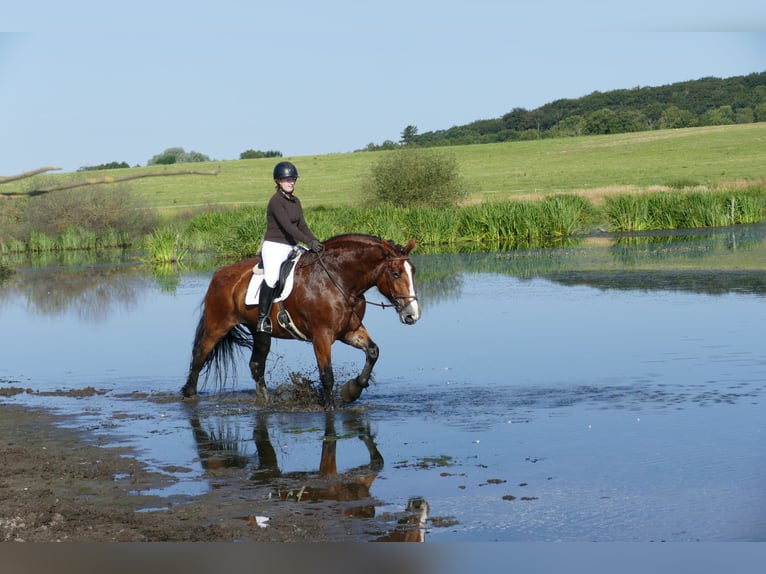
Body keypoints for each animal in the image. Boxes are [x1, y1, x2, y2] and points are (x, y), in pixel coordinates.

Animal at [181, 234, 421, 407]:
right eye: (395, 273)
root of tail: (219, 274)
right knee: (200, 354)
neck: (339, 280)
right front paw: (329, 406)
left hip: (260, 332)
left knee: (256, 364)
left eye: (413, 271)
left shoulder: (349, 331)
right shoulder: (321, 336)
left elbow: (373, 352)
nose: (412, 314)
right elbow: (327, 375)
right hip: (217, 325)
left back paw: (264, 400)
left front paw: (352, 390)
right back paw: (189, 393)